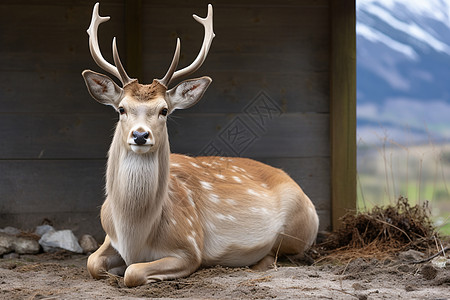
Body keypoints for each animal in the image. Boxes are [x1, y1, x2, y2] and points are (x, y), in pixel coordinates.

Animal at [81, 2, 320, 288]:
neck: (134, 235)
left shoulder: (189, 245)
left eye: (164, 110)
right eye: (121, 109)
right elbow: (92, 263)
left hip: (298, 229)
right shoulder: (109, 237)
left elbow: (134, 272)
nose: (140, 135)